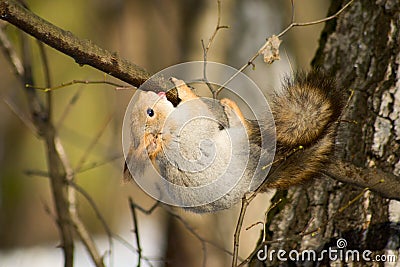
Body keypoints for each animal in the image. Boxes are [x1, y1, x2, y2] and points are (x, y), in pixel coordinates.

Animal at [123, 70, 346, 215]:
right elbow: (199, 112)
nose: (146, 93)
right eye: (150, 113)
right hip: (238, 144)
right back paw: (234, 112)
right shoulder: (189, 131)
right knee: (244, 131)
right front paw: (183, 88)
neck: (165, 137)